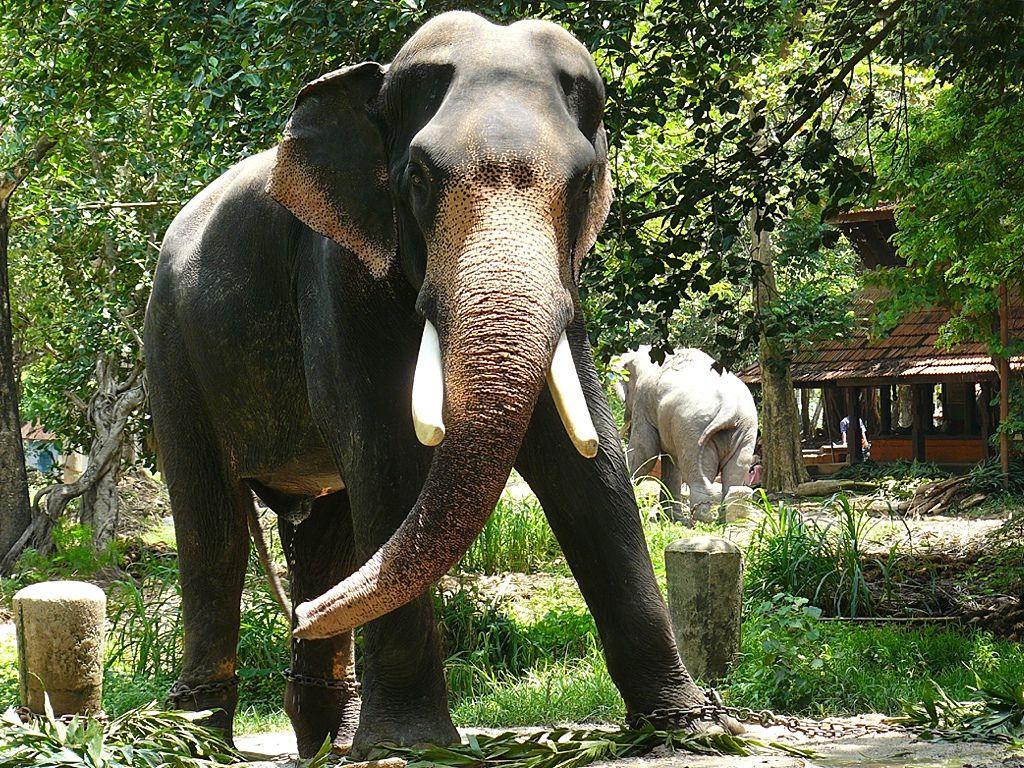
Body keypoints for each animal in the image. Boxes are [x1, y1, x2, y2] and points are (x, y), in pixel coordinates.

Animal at [144, 11, 720, 759]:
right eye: (418, 176)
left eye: (584, 181)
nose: (302, 617)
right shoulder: (337, 270)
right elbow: (386, 452)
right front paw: (411, 747)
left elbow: (587, 467)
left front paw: (691, 726)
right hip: (170, 347)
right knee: (211, 525)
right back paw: (193, 739)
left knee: (327, 529)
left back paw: (328, 733)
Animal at [616, 347, 758, 519]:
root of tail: (730, 405)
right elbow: (671, 461)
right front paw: (671, 517)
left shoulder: (643, 400)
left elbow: (645, 451)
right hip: (745, 429)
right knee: (735, 474)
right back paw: (724, 520)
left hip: (694, 429)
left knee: (695, 472)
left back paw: (701, 520)